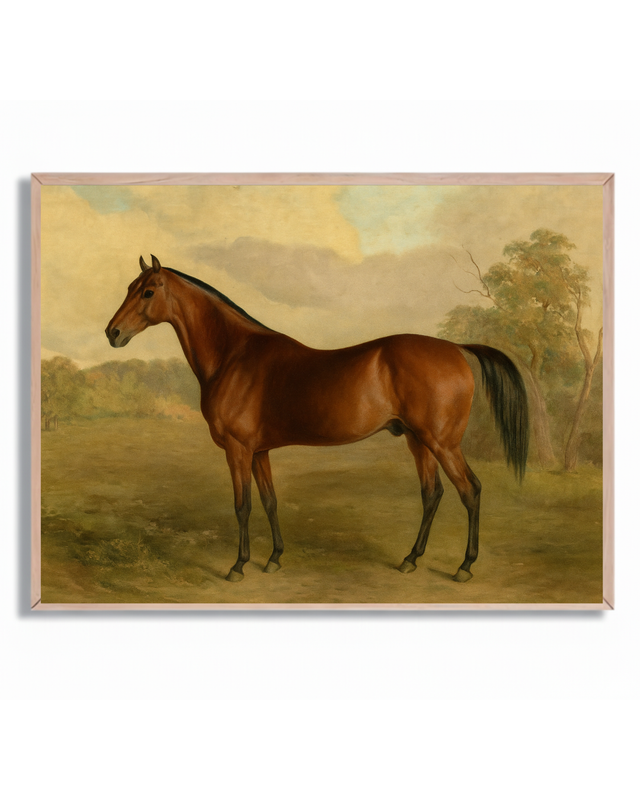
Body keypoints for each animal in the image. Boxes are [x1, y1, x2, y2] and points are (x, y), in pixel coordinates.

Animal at [106, 255, 529, 584]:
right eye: (128, 287)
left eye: (147, 291)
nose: (113, 332)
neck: (234, 356)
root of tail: (455, 349)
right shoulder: (259, 451)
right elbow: (270, 501)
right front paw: (274, 559)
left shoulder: (238, 450)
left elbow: (242, 506)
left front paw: (238, 566)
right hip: (418, 440)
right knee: (432, 494)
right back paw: (410, 559)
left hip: (442, 442)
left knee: (470, 491)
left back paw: (464, 567)